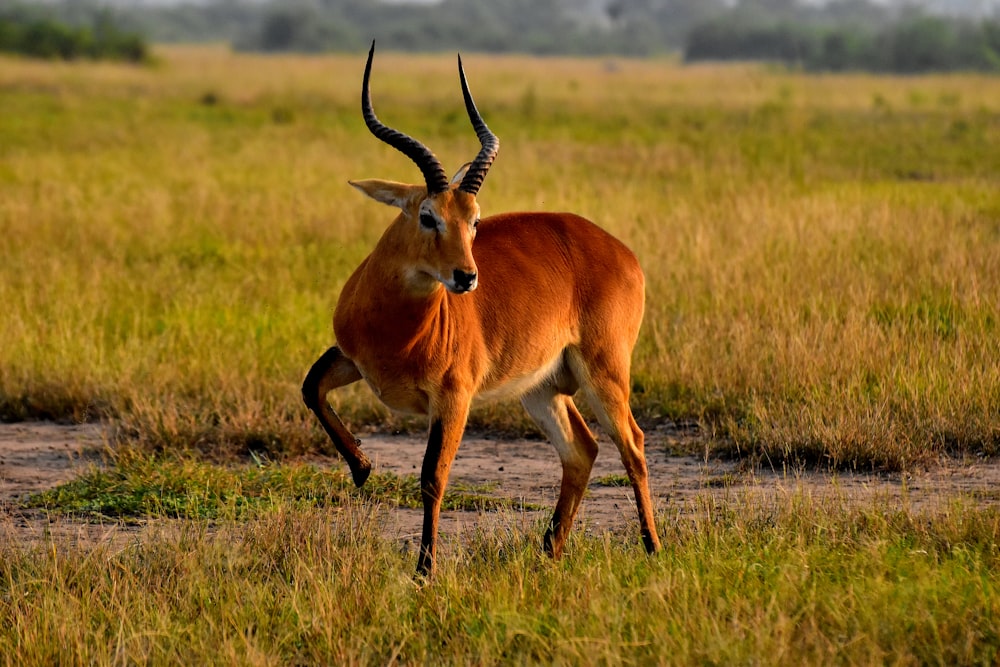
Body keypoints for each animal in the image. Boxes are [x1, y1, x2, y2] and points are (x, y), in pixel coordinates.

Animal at [304, 41, 664, 576]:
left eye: (475, 220)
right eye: (427, 215)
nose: (466, 277)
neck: (398, 326)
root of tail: (621, 250)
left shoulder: (453, 397)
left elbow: (433, 477)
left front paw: (424, 571)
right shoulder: (351, 357)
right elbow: (311, 387)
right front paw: (363, 467)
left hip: (604, 370)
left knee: (633, 445)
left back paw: (653, 547)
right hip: (541, 387)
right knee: (582, 449)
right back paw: (549, 552)